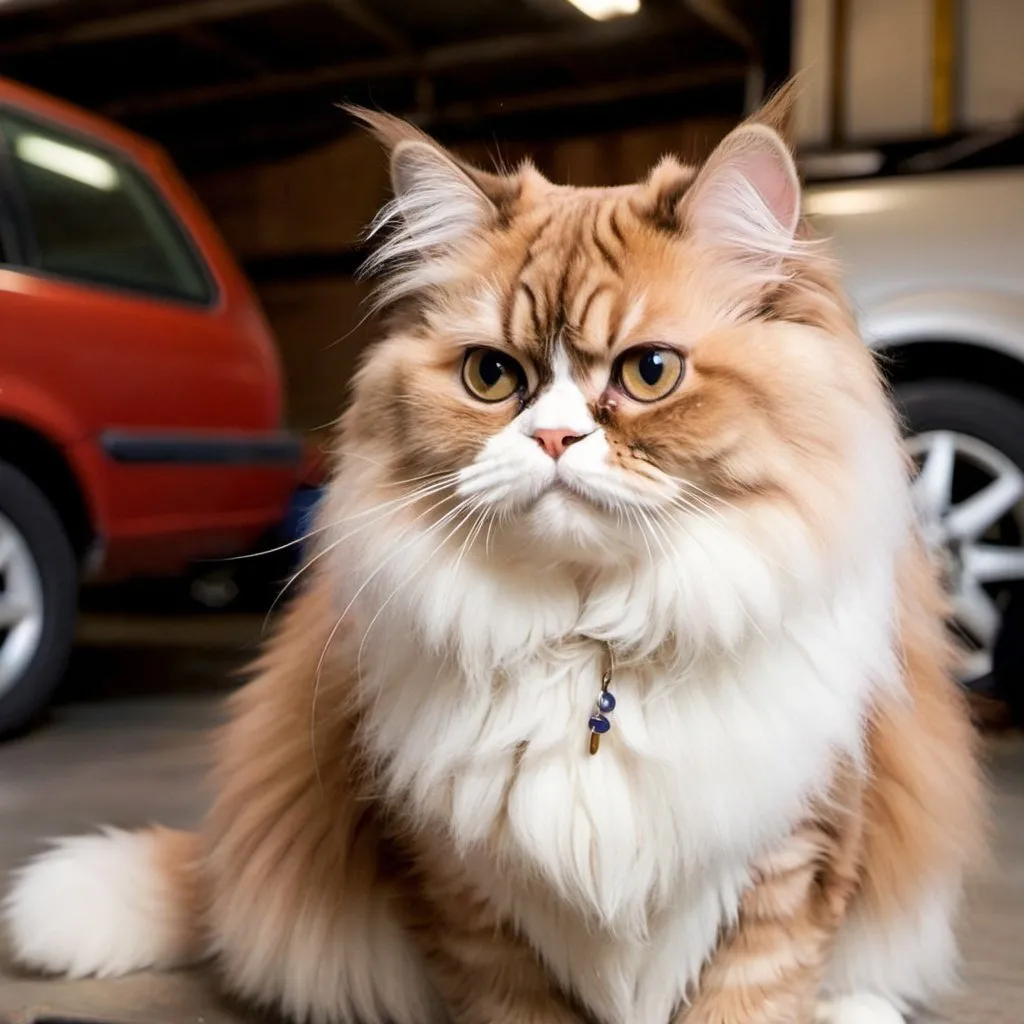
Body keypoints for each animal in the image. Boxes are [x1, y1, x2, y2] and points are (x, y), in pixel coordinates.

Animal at [6, 88, 983, 1024]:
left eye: (650, 373)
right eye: (490, 377)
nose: (552, 437)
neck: (594, 651)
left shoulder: (791, 864)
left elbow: (757, 998)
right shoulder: (464, 893)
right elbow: (511, 1000)